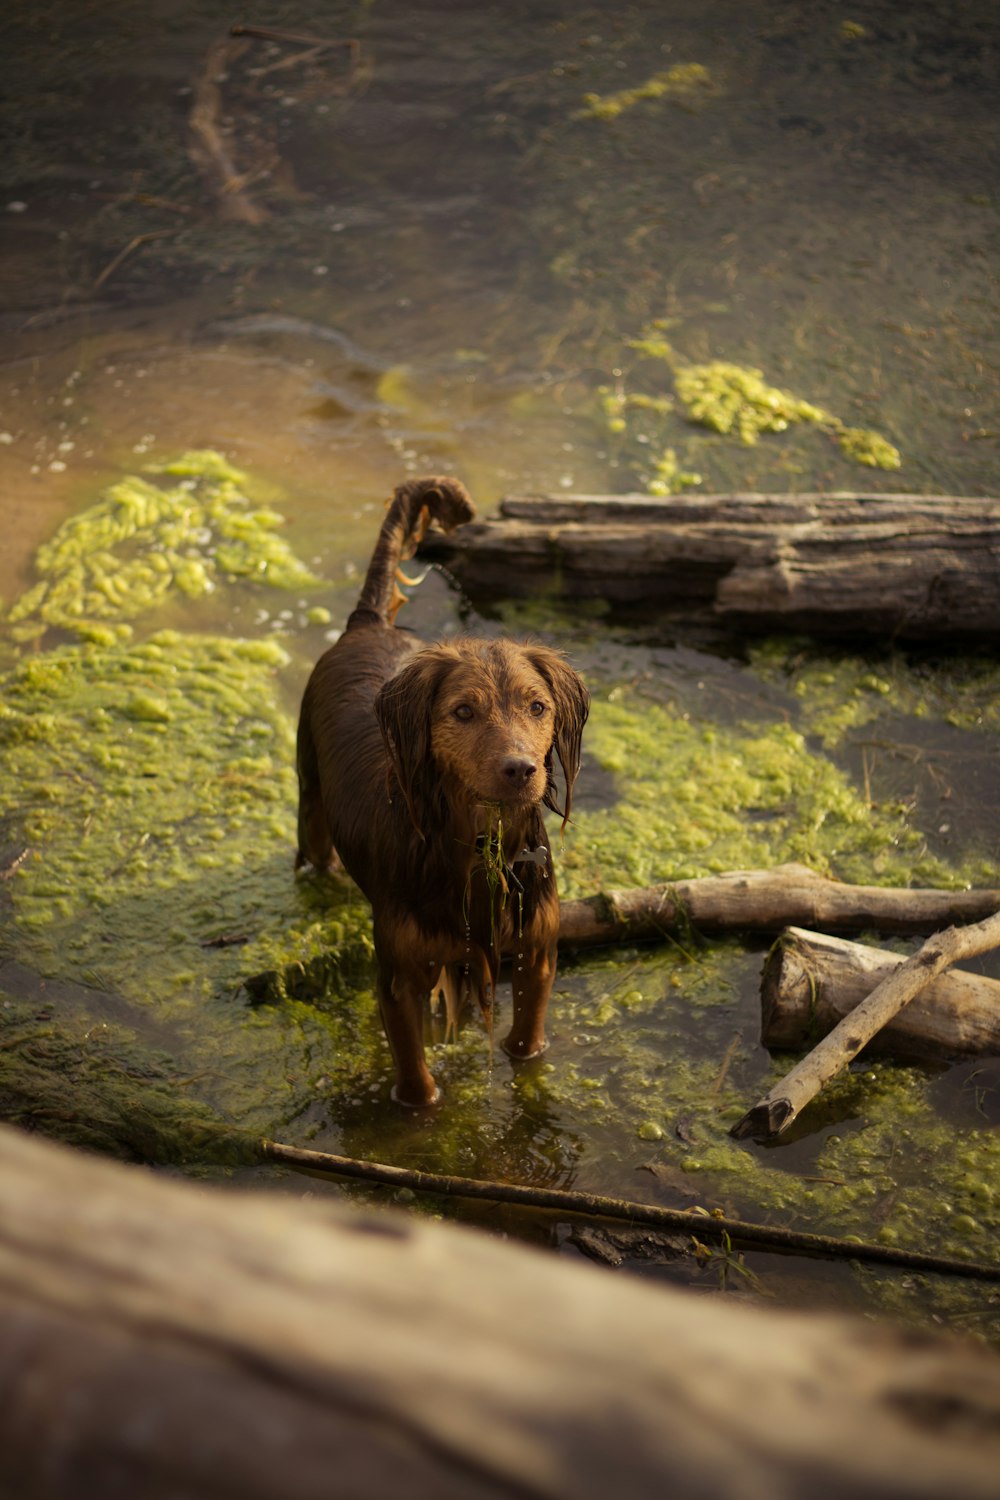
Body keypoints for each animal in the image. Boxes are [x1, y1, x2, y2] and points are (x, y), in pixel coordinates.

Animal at [293, 474, 590, 1110]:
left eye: (537, 706)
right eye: (463, 712)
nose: (520, 769)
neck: (478, 849)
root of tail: (367, 623)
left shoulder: (538, 953)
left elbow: (525, 1043)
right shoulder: (399, 976)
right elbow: (414, 1076)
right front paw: (421, 1112)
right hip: (310, 798)